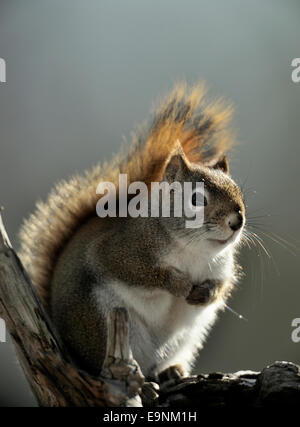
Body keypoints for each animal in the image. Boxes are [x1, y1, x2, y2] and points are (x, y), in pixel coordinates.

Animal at [17, 83, 245, 382]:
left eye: (239, 192)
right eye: (196, 199)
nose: (237, 221)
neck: (194, 250)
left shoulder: (221, 267)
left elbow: (222, 286)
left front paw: (206, 293)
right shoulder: (121, 249)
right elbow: (137, 270)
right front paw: (179, 284)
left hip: (186, 338)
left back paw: (170, 371)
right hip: (102, 322)